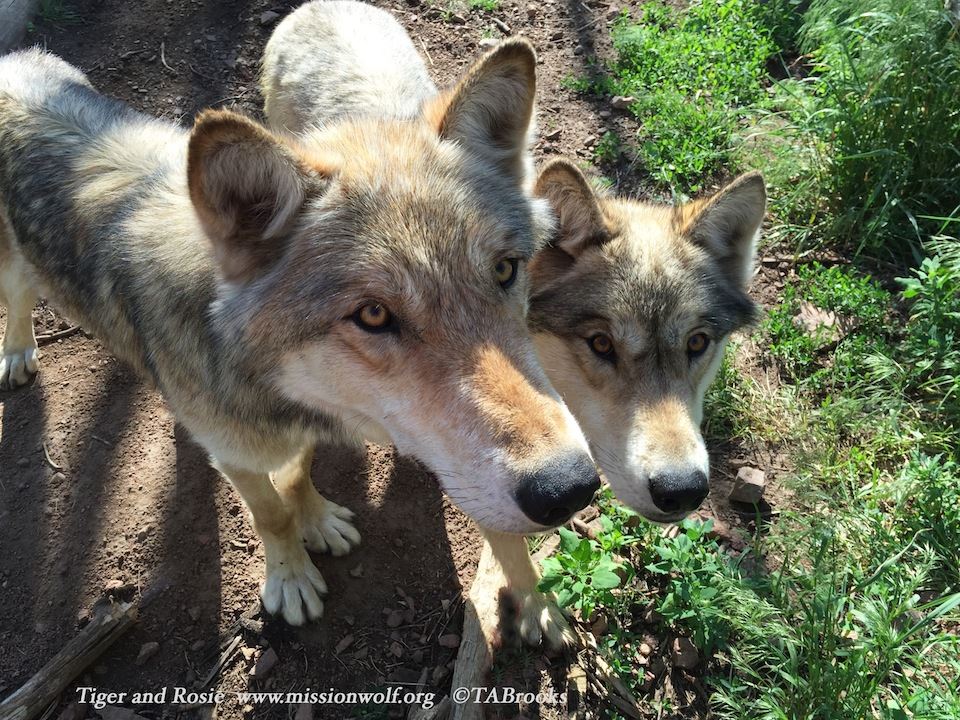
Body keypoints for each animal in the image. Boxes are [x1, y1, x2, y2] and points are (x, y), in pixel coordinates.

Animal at [0, 45, 601, 628]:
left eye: (505, 270)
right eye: (374, 314)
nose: (570, 488)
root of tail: (15, 61)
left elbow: (297, 473)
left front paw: (317, 519)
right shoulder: (237, 454)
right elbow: (270, 514)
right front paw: (290, 579)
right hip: (14, 271)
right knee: (17, 301)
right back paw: (18, 354)